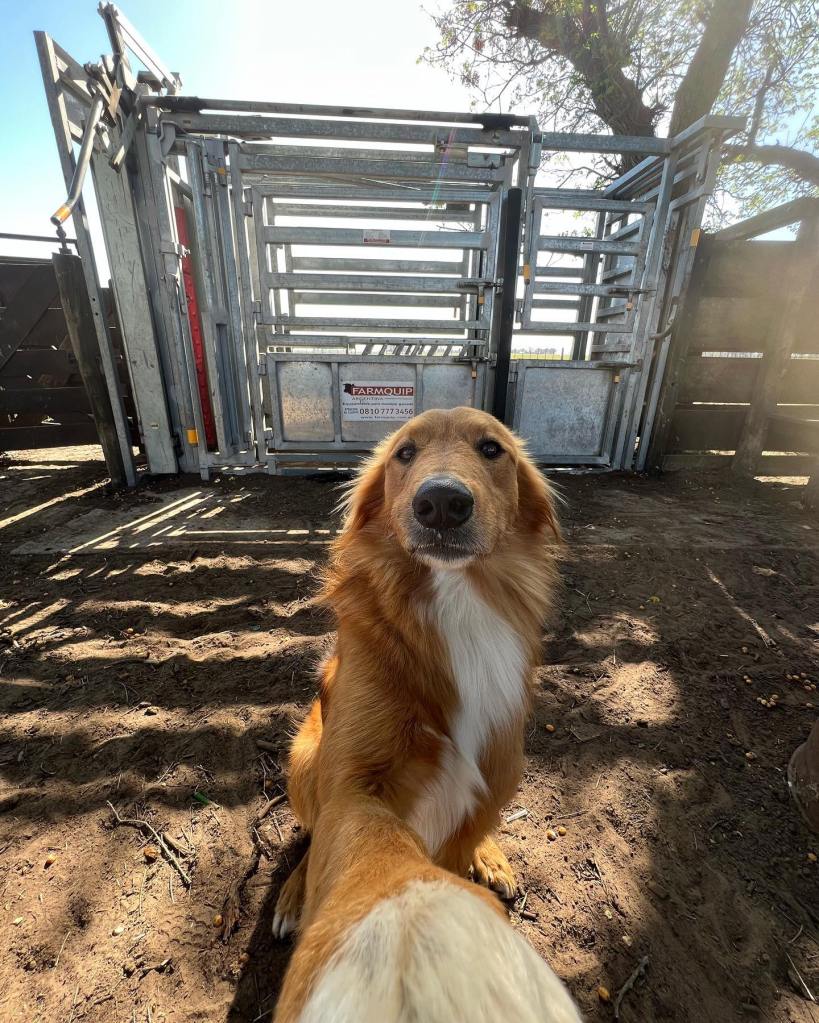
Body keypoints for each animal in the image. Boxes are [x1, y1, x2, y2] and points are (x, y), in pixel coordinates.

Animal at [271, 405, 560, 937]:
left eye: (492, 448)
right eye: (405, 452)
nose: (442, 502)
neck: (456, 605)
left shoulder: (497, 764)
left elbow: (456, 853)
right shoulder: (354, 783)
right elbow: (362, 852)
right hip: (304, 756)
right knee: (315, 834)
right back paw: (293, 895)